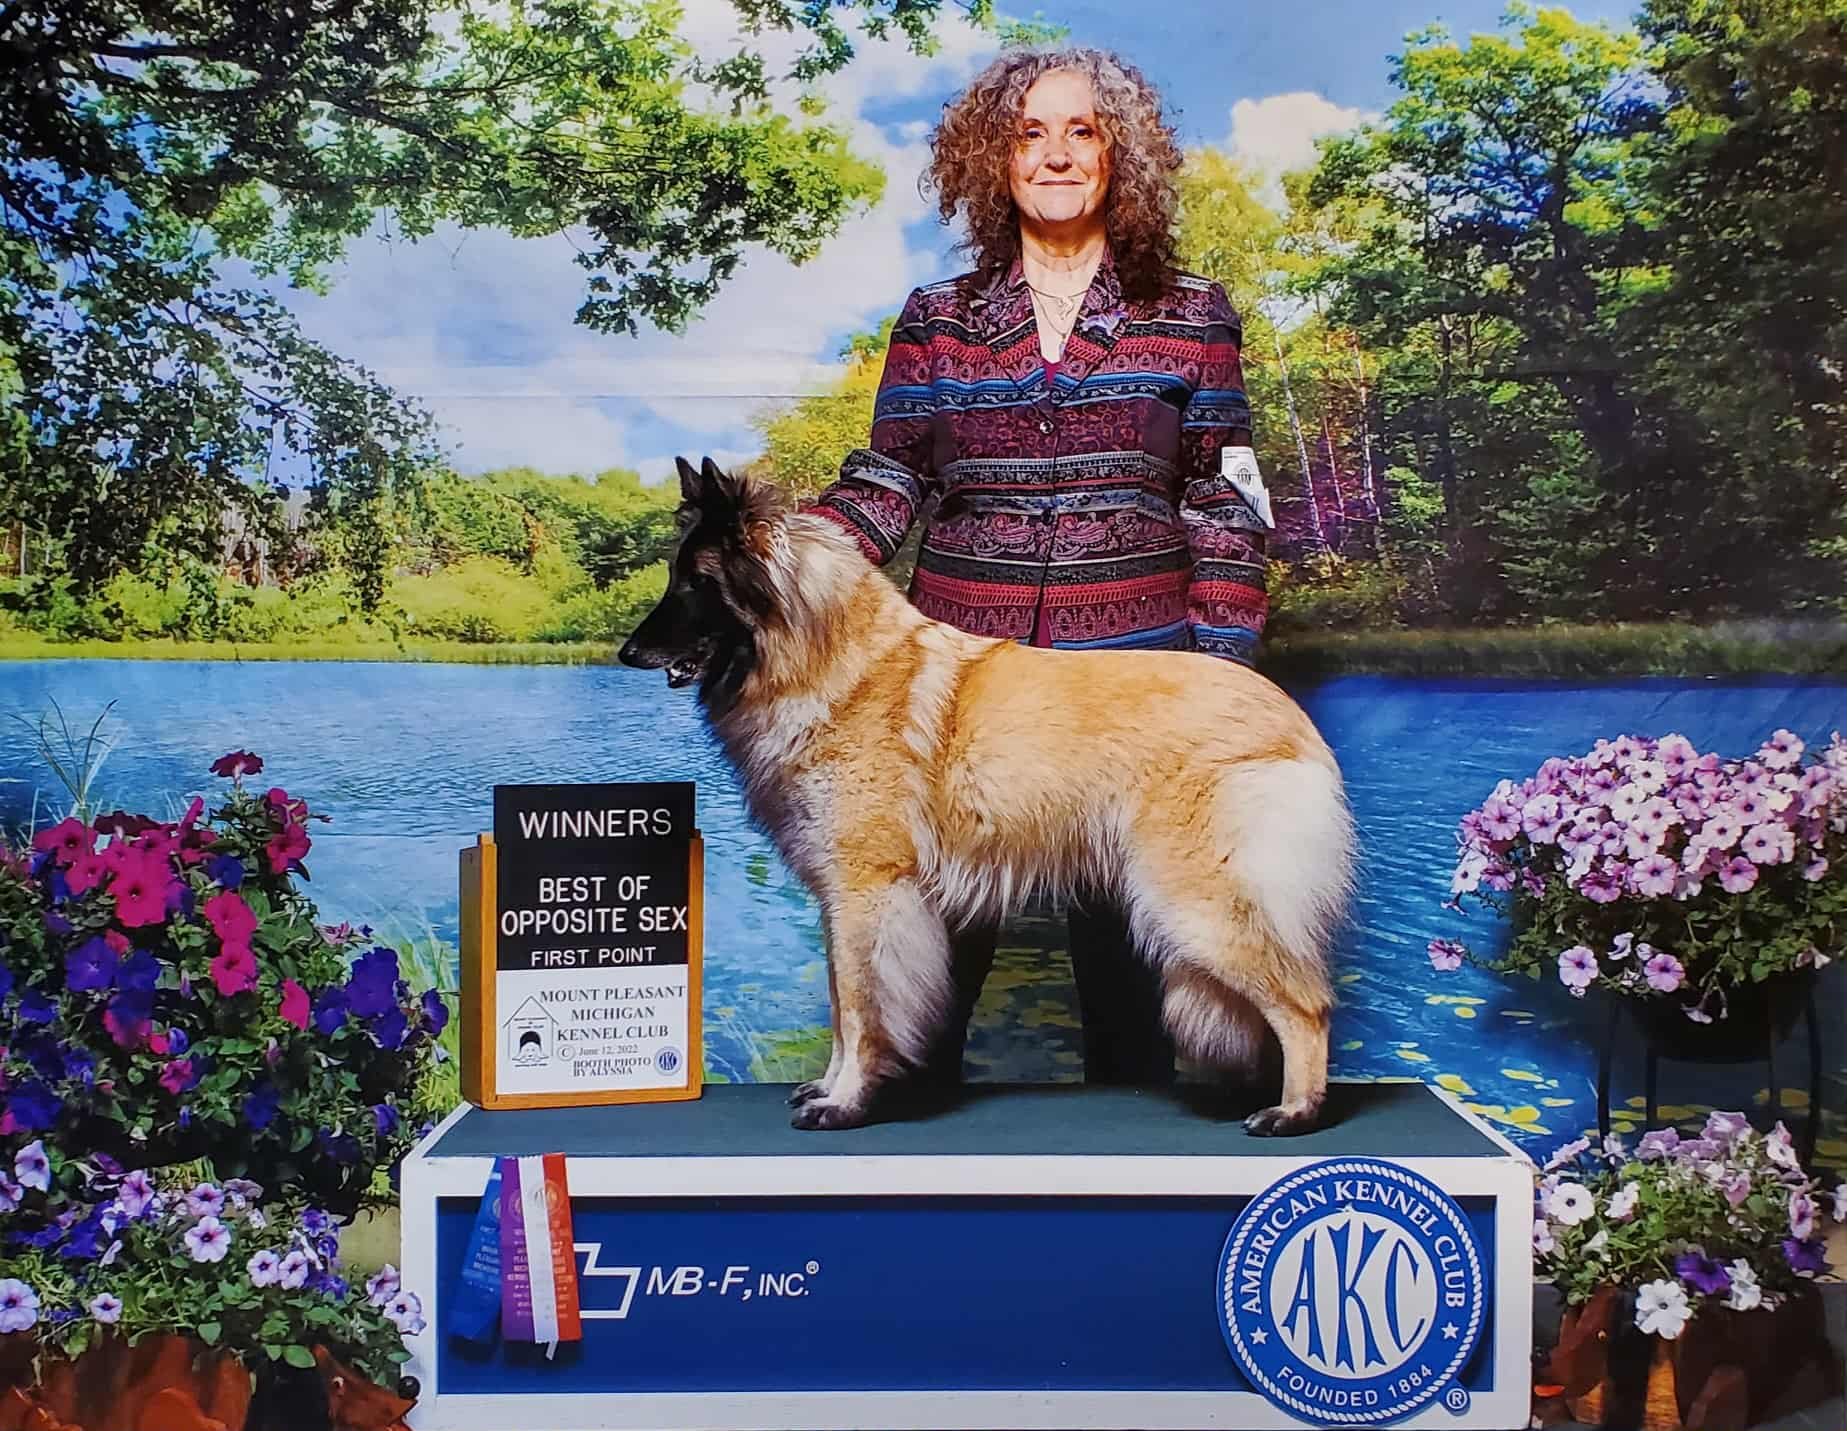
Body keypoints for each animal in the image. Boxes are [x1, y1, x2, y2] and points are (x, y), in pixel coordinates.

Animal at [619, 457, 1355, 1135]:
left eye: (696, 582)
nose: (626, 653)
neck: (825, 658)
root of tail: (1287, 712)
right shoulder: (842, 897)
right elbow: (838, 1003)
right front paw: (828, 1086)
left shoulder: (867, 890)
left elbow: (859, 1008)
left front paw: (846, 1100)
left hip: (1196, 900)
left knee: (1306, 1003)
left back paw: (1293, 1110)